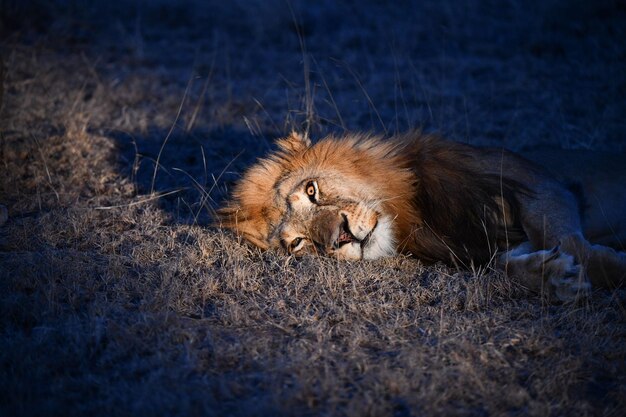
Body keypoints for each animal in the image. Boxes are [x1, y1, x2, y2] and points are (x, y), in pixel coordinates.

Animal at [219, 132, 624, 300]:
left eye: (311, 191)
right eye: (297, 243)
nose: (343, 237)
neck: (412, 213)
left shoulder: (542, 184)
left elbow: (565, 238)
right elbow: (505, 264)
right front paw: (556, 277)